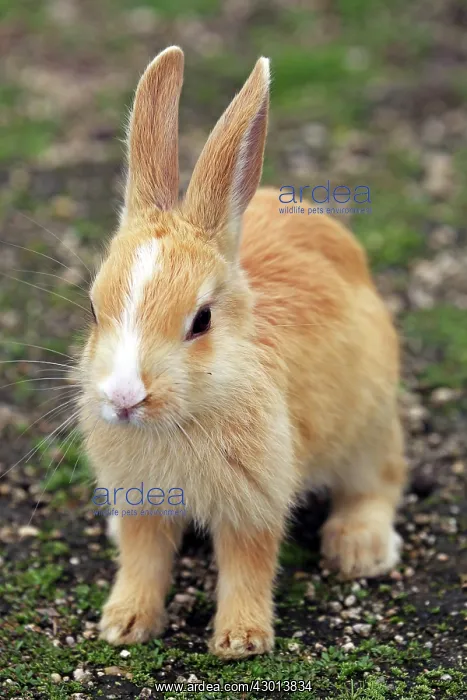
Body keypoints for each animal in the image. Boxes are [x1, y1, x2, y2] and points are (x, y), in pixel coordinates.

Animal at [78, 46, 407, 659]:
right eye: (92, 308)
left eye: (201, 321)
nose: (124, 397)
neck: (184, 417)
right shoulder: (141, 502)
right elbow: (141, 559)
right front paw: (123, 624)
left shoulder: (255, 499)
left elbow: (247, 564)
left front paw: (241, 640)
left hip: (369, 425)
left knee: (378, 482)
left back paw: (359, 549)